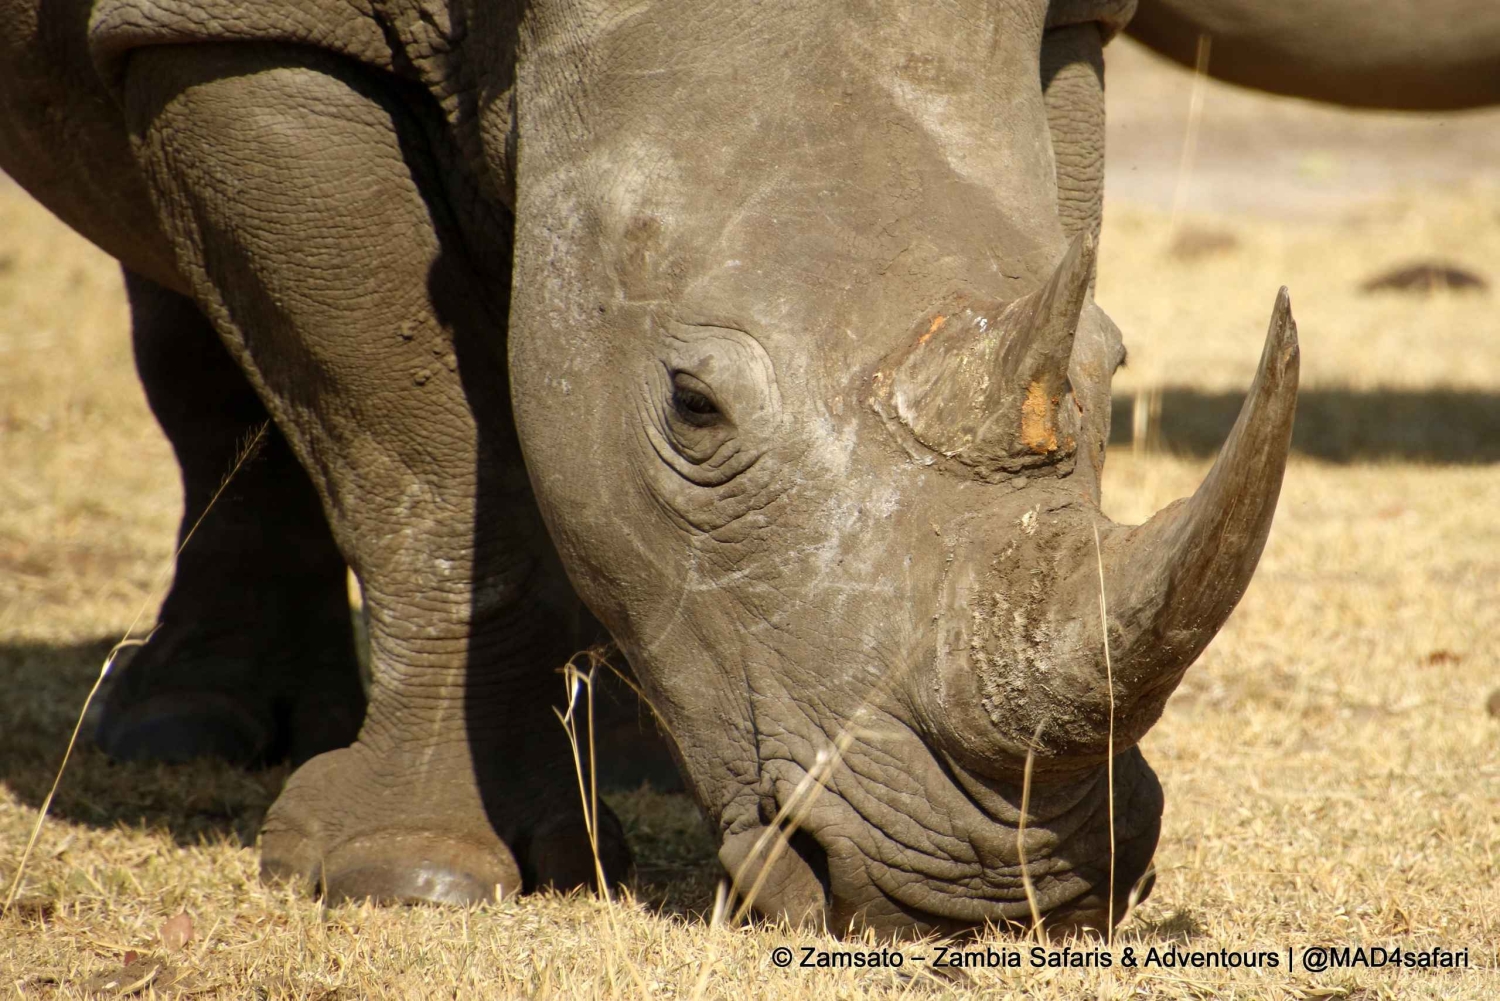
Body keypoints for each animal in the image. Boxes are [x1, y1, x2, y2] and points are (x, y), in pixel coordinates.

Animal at [0, 0, 1489, 935]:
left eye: (1119, 364)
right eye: (694, 410)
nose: (999, 898)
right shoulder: (234, 31)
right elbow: (419, 449)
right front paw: (414, 875)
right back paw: (191, 730)